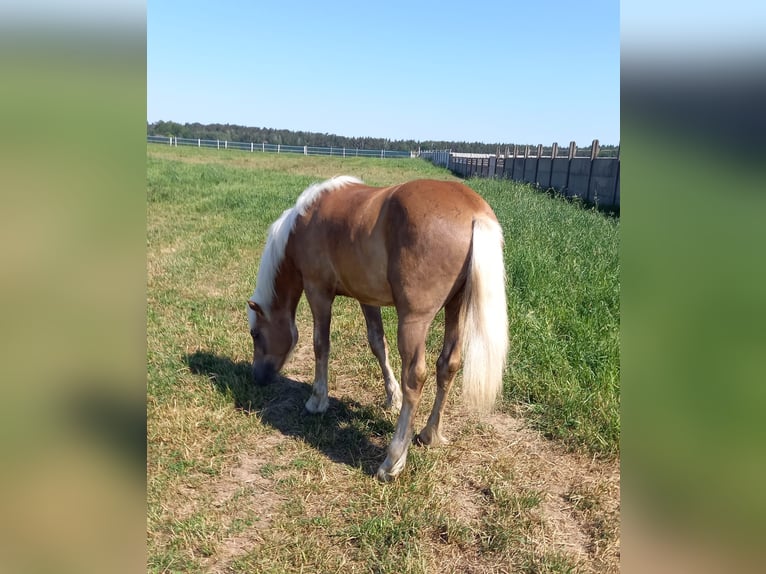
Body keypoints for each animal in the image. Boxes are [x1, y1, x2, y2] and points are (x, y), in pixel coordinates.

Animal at [247, 176, 508, 482]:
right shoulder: (366, 297)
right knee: (448, 364)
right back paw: (429, 435)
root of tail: (473, 212)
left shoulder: (317, 291)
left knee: (415, 377)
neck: (305, 221)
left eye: (255, 334)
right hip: (455, 308)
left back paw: (392, 462)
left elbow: (320, 344)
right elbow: (377, 344)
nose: (257, 377)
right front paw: (391, 397)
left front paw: (317, 400)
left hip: (414, 320)